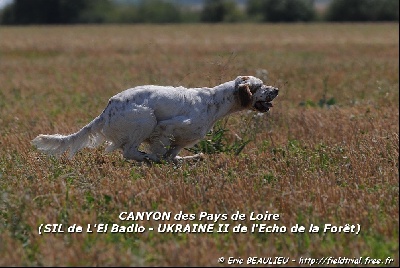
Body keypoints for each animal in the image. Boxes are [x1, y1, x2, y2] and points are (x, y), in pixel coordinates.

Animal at [32, 76, 278, 163]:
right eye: (260, 86)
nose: (276, 89)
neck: (214, 102)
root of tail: (106, 110)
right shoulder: (165, 128)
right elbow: (162, 152)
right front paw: (156, 158)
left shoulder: (181, 140)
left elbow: (174, 156)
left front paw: (191, 158)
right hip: (145, 118)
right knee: (129, 152)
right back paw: (146, 158)